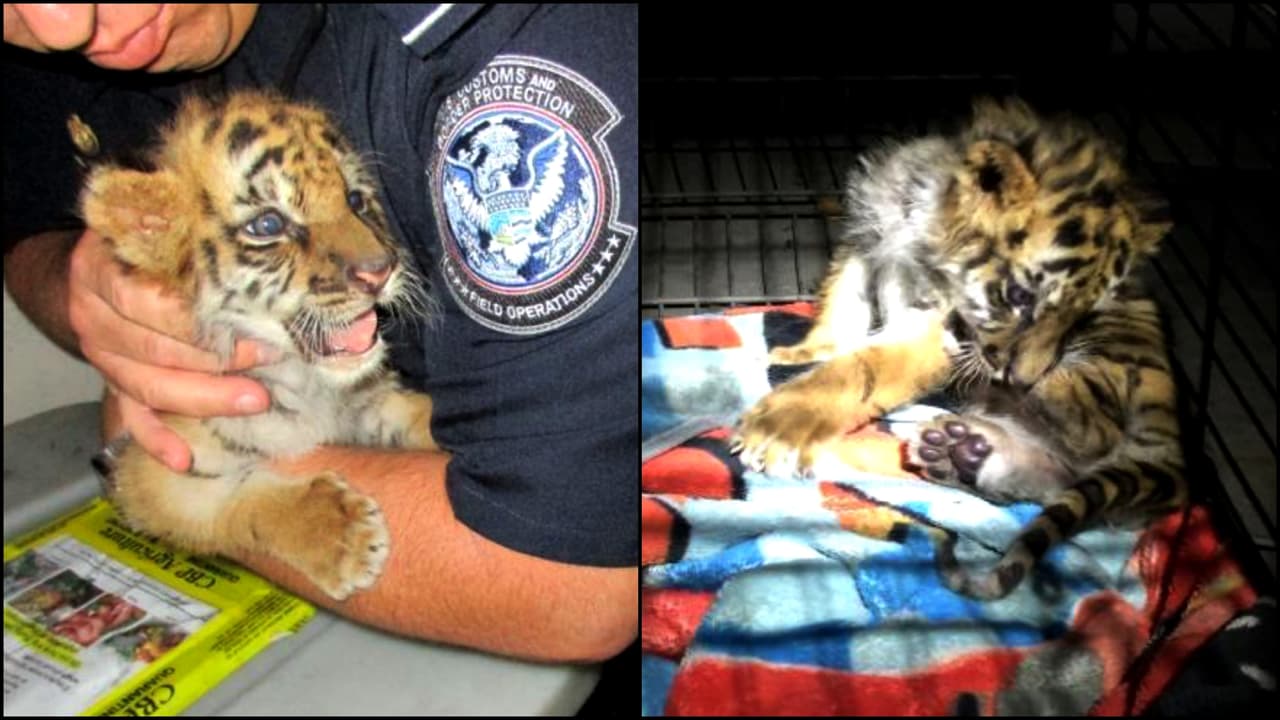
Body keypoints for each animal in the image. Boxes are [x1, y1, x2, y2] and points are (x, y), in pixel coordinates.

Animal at [80, 90, 437, 600]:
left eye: (354, 200)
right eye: (268, 224)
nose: (380, 270)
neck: (305, 383)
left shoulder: (367, 404)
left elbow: (415, 414)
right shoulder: (154, 472)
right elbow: (241, 503)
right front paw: (342, 536)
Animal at [733, 97, 1185, 600]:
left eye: (1082, 315)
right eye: (1020, 297)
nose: (1023, 380)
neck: (921, 221)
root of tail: (1172, 444)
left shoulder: (939, 320)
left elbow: (866, 369)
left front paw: (778, 428)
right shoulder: (867, 242)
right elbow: (843, 304)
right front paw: (808, 351)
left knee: (1093, 431)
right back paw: (960, 448)